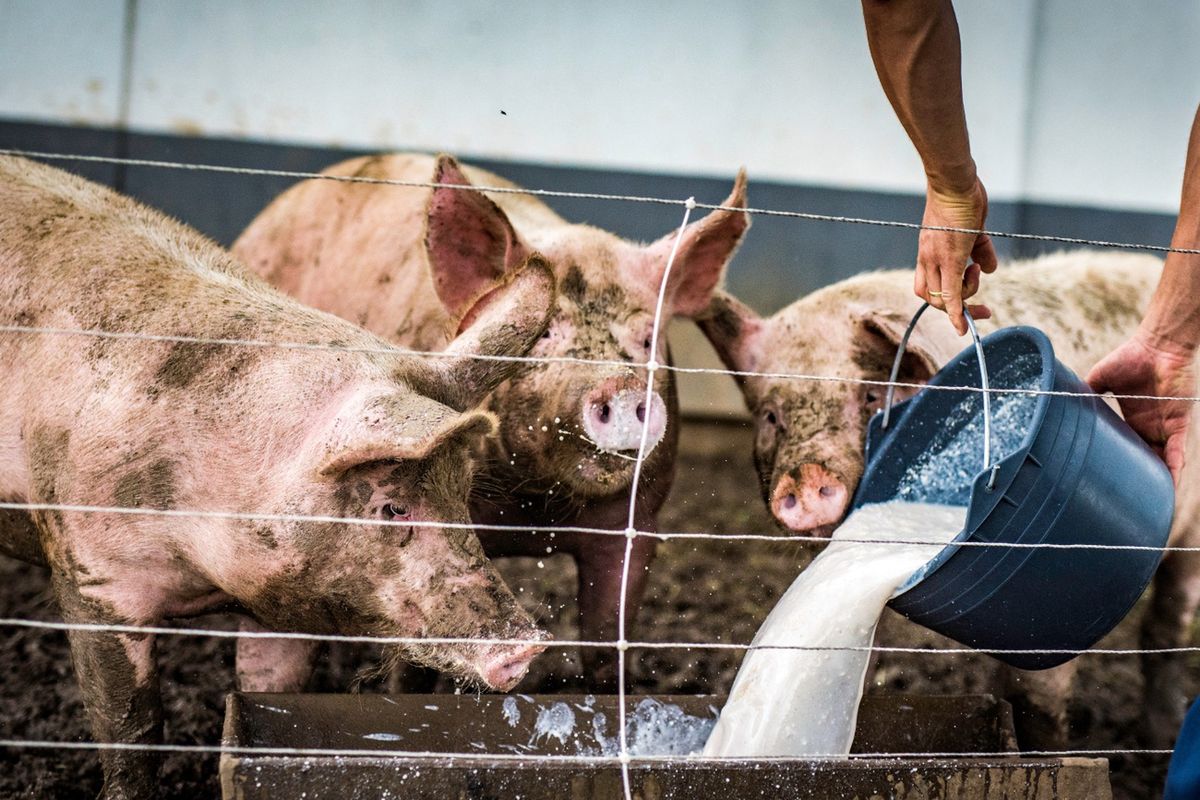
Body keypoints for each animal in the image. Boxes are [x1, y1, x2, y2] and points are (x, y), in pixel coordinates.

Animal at [700, 251, 1200, 753]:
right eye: (770, 415)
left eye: (869, 395)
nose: (806, 475)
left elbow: (1034, 696)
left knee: (1167, 626)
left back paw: (1159, 734)